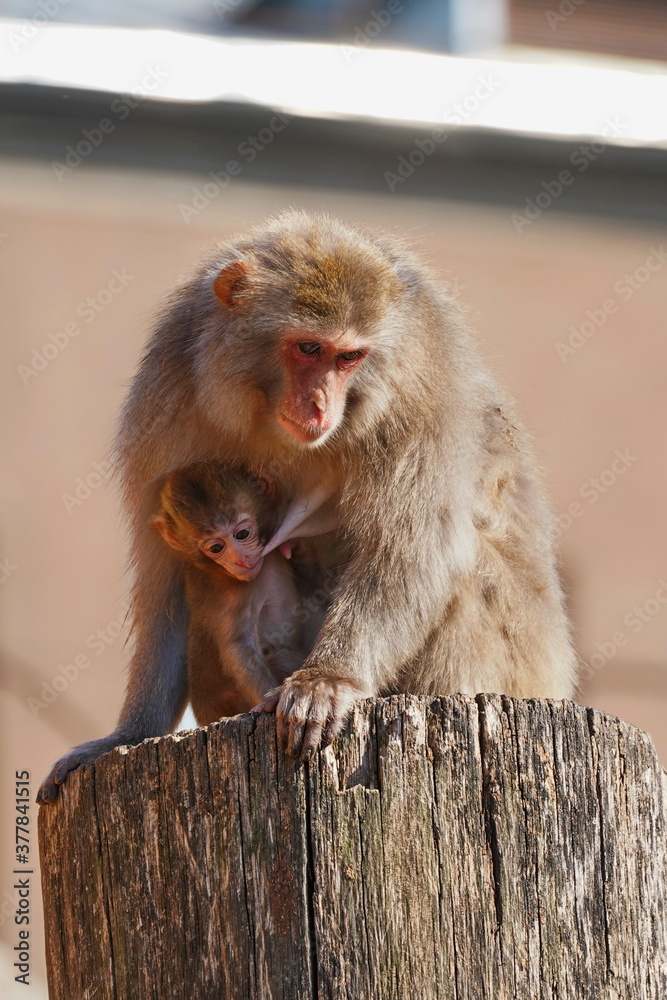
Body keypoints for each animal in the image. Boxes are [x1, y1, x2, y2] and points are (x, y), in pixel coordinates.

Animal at [37, 211, 577, 803]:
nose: (320, 406)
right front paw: (129, 734)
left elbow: (414, 543)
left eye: (350, 356)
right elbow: (165, 575)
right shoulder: (167, 399)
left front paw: (329, 680)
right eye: (309, 349)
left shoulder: (416, 393)